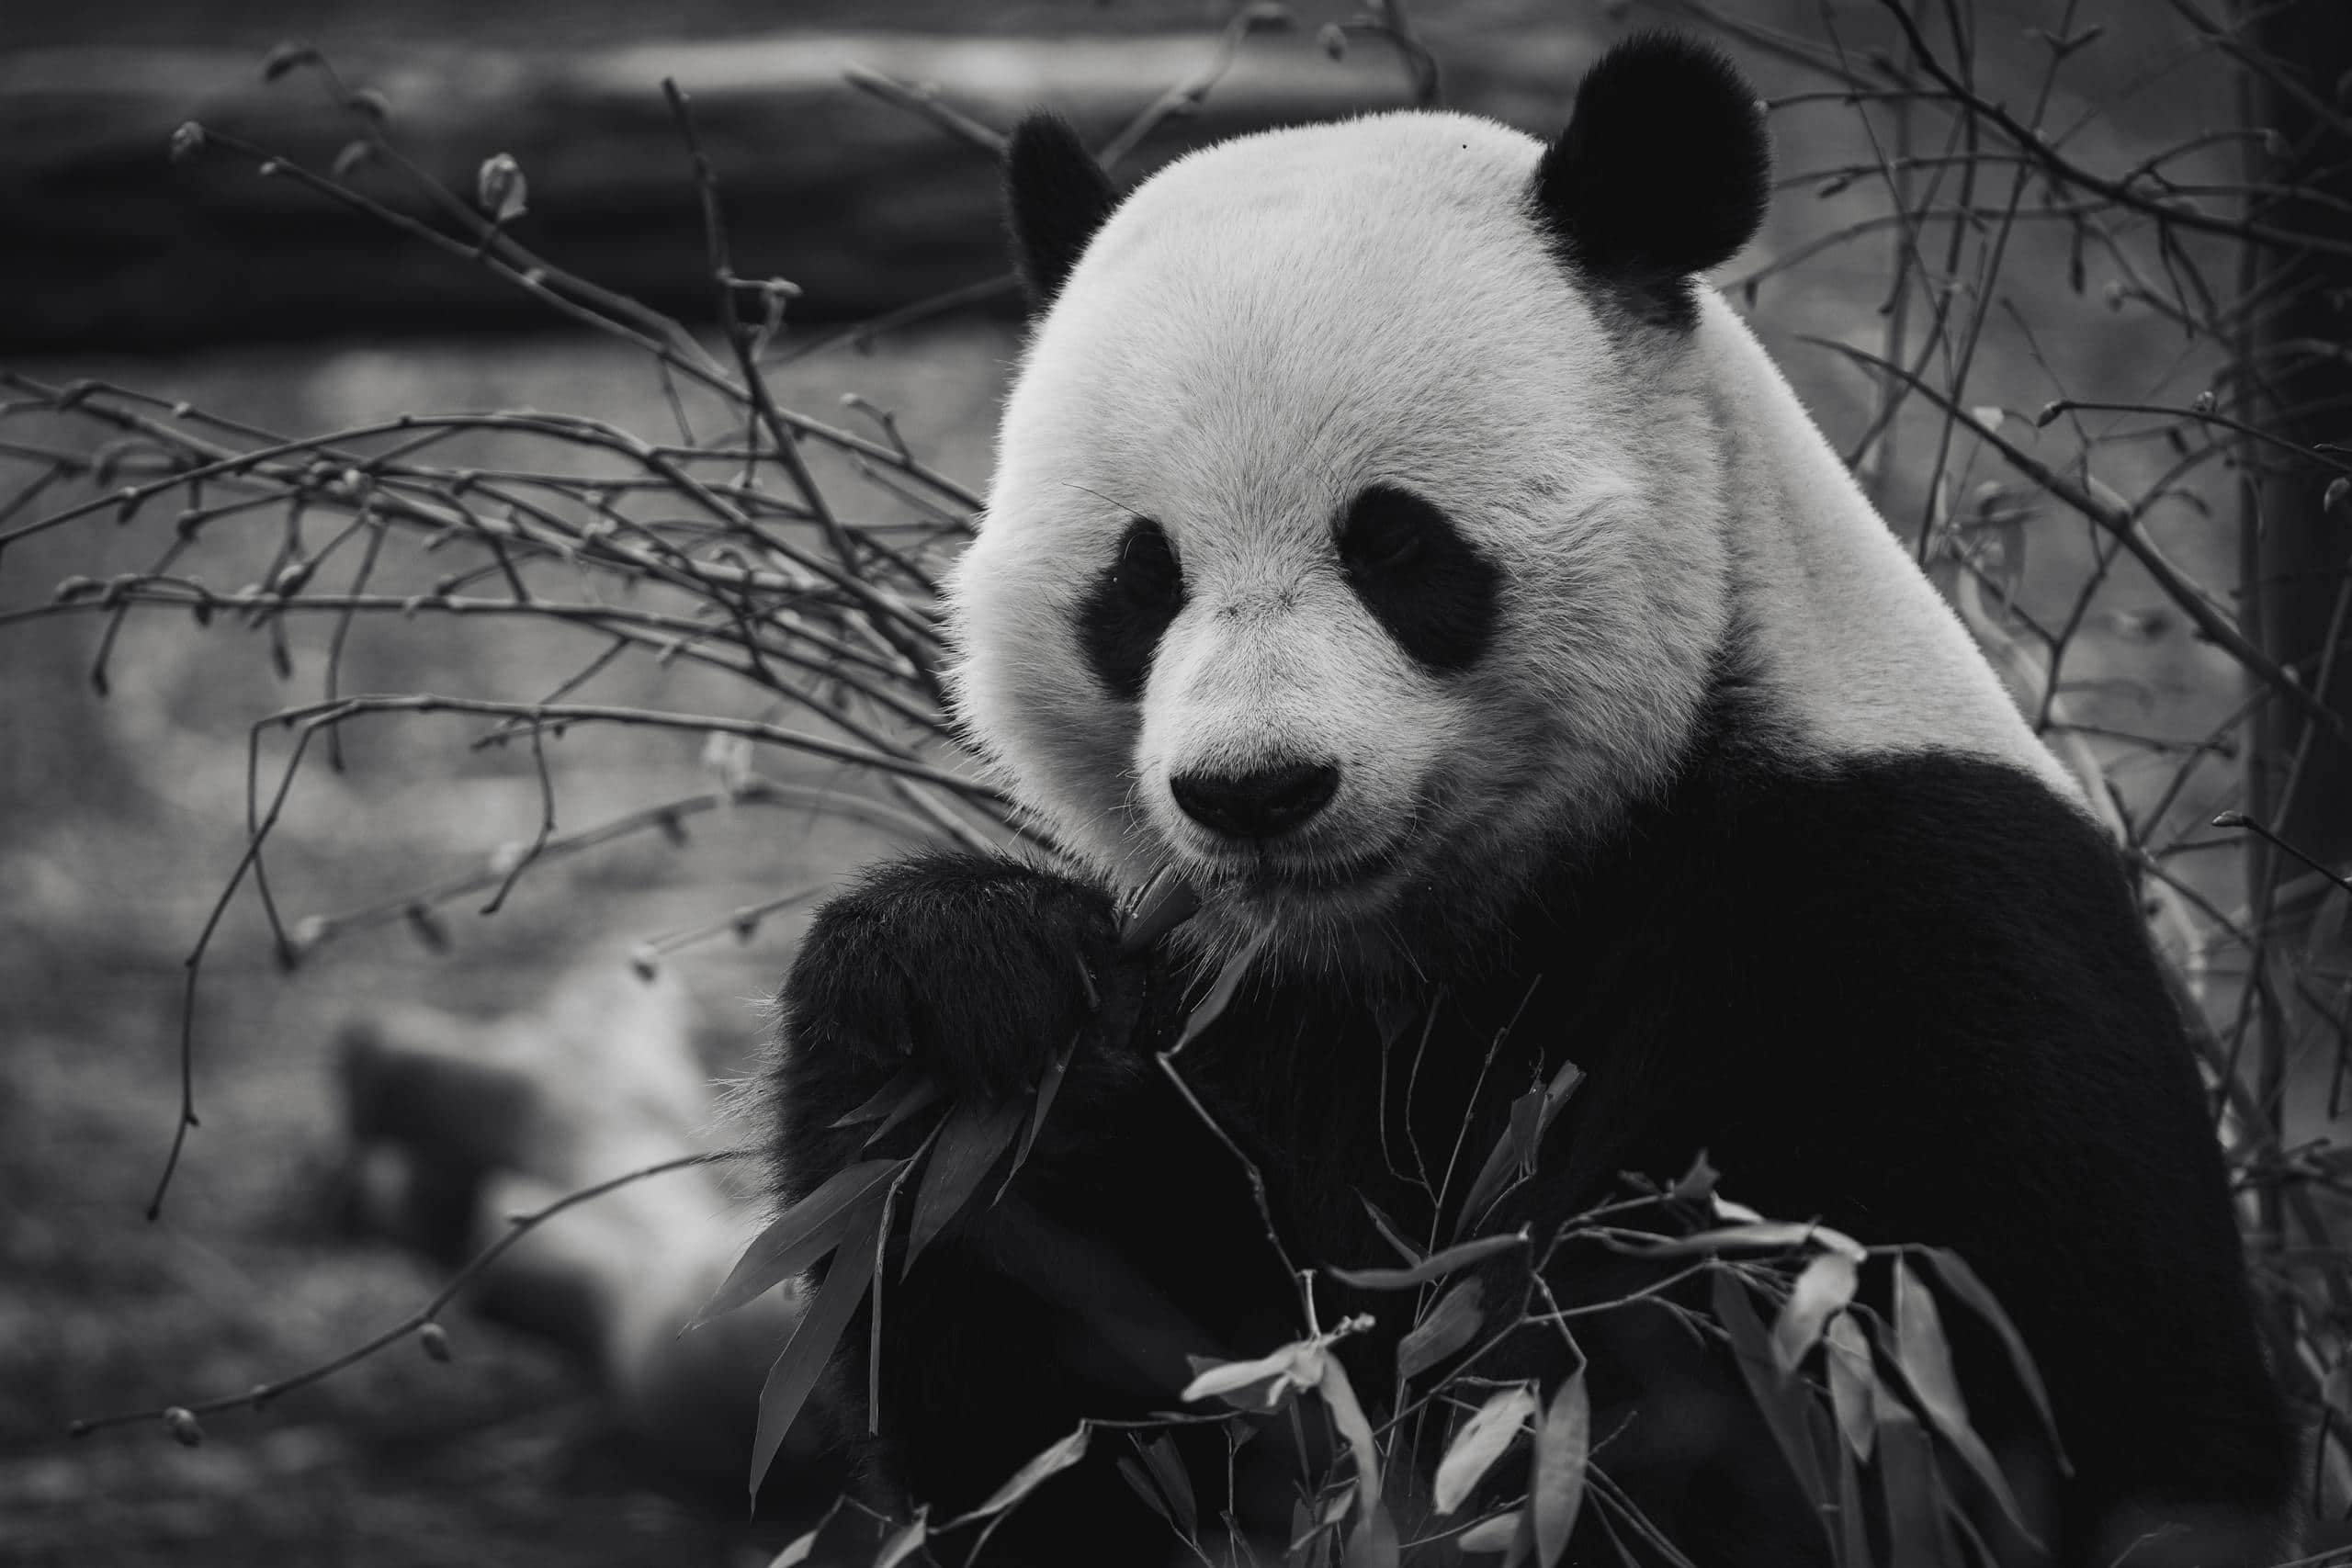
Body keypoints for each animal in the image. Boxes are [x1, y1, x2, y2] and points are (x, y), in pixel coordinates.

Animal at [771, 32, 2292, 1567]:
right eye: (1141, 579)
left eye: (1395, 545)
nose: (1256, 790)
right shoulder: (1256, 1014)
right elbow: (1097, 1421)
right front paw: (964, 982)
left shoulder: (1914, 930)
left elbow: (1883, 1406)